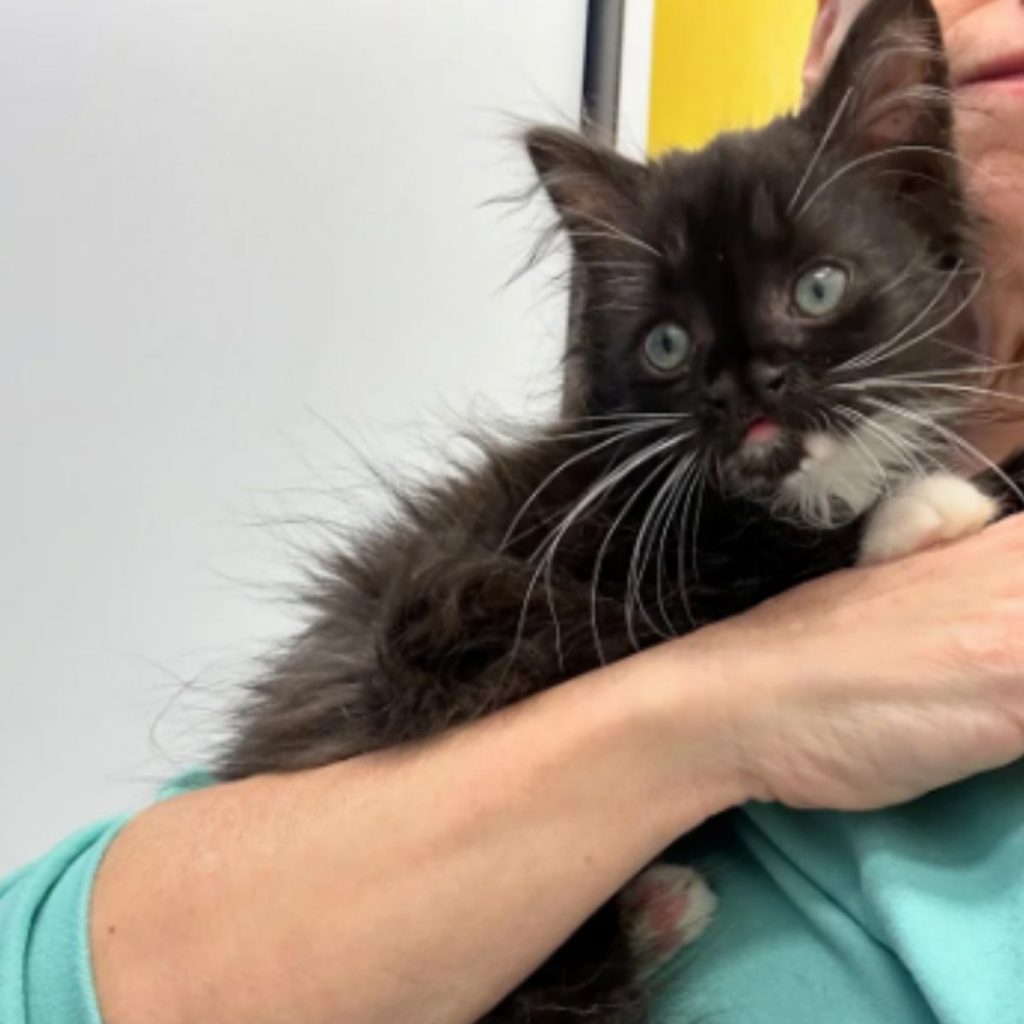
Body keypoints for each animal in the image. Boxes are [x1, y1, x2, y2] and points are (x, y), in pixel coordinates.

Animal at [220, 0, 1019, 1019]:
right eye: (668, 344)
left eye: (818, 288)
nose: (740, 382)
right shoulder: (472, 607)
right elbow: (738, 582)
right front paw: (919, 508)